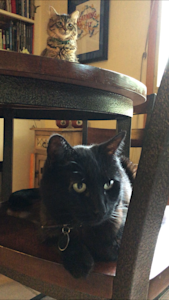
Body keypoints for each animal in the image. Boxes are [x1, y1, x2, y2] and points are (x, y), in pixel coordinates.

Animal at [6, 132, 137, 278]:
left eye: (109, 184)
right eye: (79, 186)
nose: (101, 210)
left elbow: (110, 246)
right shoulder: (46, 225)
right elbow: (61, 238)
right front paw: (79, 260)